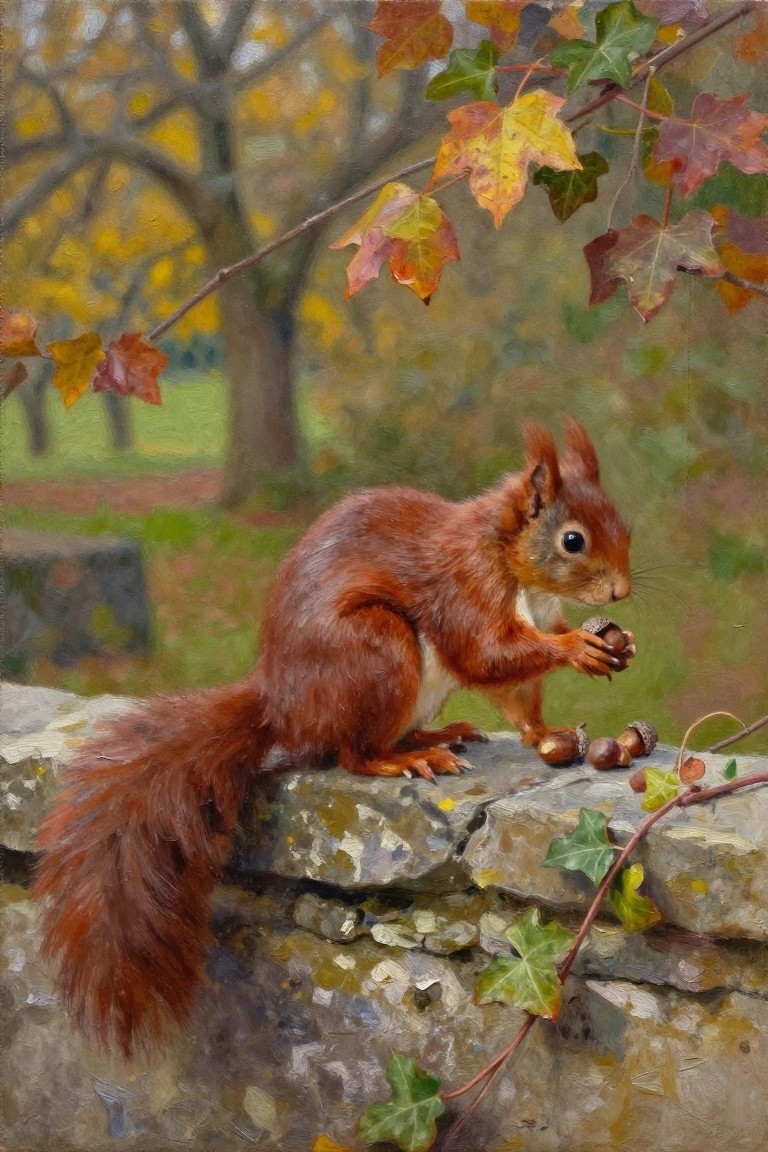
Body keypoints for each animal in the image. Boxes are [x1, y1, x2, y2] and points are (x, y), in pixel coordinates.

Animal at [34, 420, 634, 1059]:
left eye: (622, 523)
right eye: (572, 541)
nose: (622, 591)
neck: (511, 559)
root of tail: (281, 705)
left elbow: (521, 698)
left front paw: (555, 723)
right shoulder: (466, 589)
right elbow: (487, 653)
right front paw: (577, 648)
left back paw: (440, 732)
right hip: (375, 651)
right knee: (353, 754)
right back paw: (405, 759)